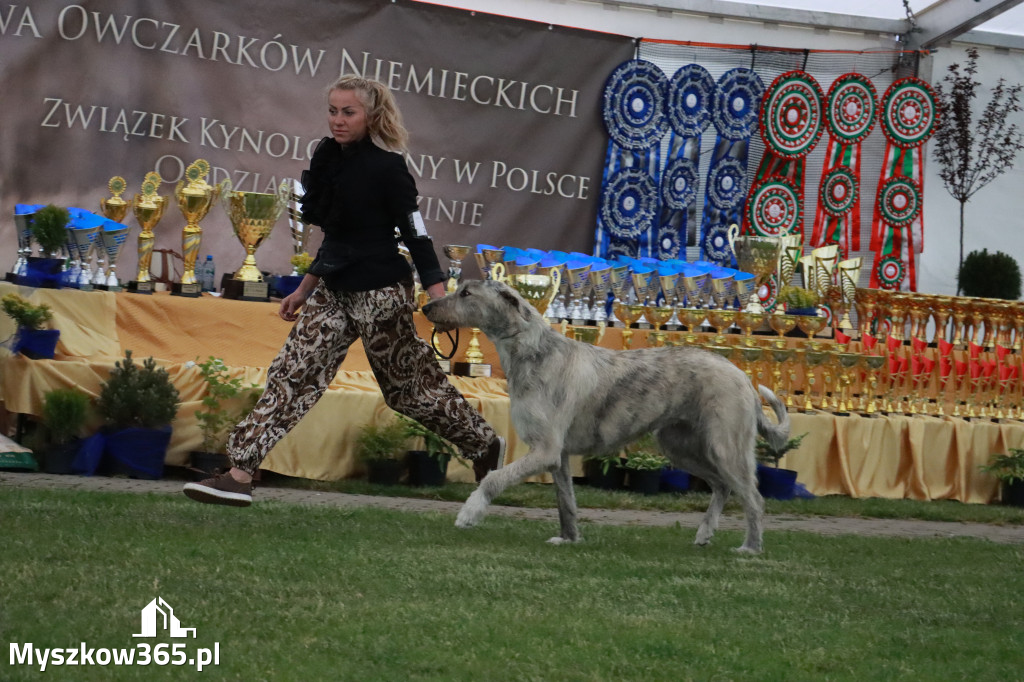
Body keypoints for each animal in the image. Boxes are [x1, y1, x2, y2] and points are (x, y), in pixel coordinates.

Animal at [423, 278, 790, 548]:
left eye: (466, 293)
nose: (425, 305)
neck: (533, 351)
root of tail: (742, 375)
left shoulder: (545, 449)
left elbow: (493, 478)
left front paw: (469, 513)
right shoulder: (558, 456)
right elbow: (566, 502)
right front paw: (569, 539)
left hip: (726, 446)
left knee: (754, 498)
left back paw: (750, 548)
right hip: (679, 446)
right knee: (722, 486)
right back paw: (704, 534)